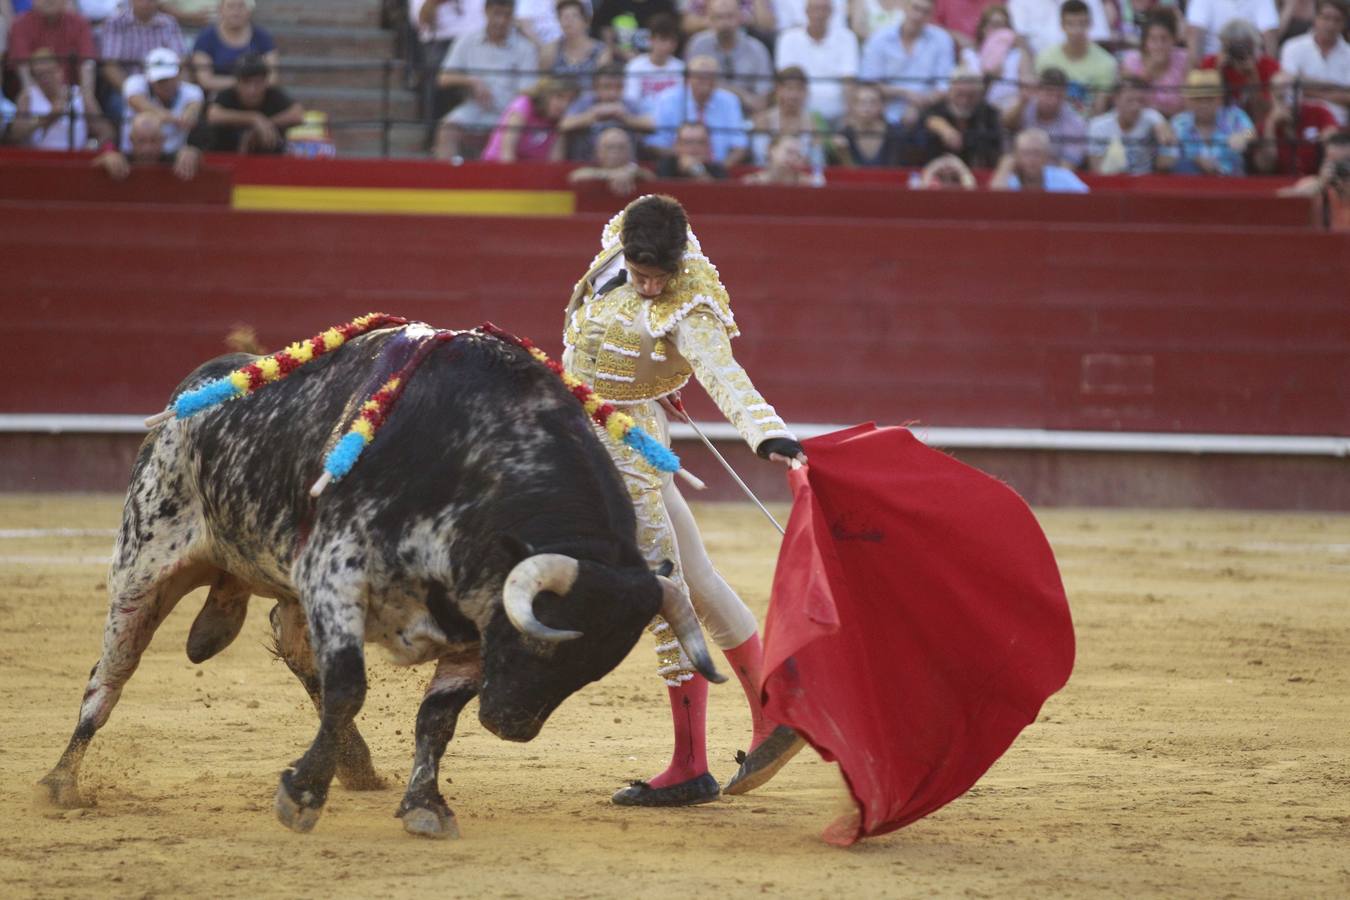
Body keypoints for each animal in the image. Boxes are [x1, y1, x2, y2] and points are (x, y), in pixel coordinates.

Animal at [36, 327, 723, 841]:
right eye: (540, 643)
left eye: (594, 669)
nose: (510, 726)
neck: (474, 463)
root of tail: (202, 382)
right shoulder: (335, 571)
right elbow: (348, 689)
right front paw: (301, 796)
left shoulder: (470, 627)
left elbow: (435, 718)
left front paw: (426, 806)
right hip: (144, 563)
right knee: (109, 675)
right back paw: (61, 783)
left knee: (290, 639)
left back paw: (358, 765)